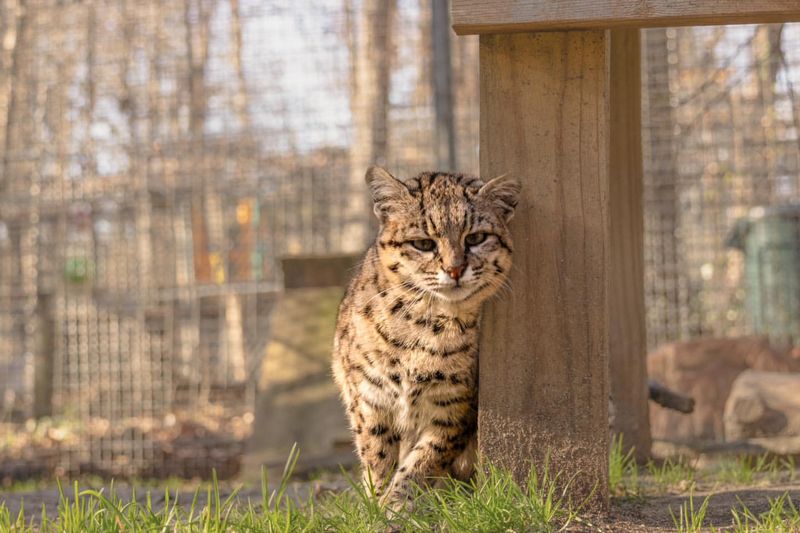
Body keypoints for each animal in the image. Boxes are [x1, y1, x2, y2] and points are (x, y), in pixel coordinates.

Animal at [330, 167, 520, 508]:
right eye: (422, 243)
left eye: (475, 238)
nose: (455, 270)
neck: (427, 323)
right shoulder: (368, 396)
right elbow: (376, 454)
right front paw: (376, 504)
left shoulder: (455, 406)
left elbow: (423, 461)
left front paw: (395, 507)